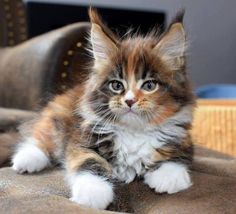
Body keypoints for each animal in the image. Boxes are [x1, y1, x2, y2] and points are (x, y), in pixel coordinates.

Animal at [12, 7, 195, 209]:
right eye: (116, 85)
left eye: (149, 85)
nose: (129, 101)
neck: (134, 132)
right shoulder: (81, 140)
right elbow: (89, 161)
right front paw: (93, 192)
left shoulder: (183, 139)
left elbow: (178, 154)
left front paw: (169, 176)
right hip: (57, 118)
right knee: (41, 138)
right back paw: (26, 159)